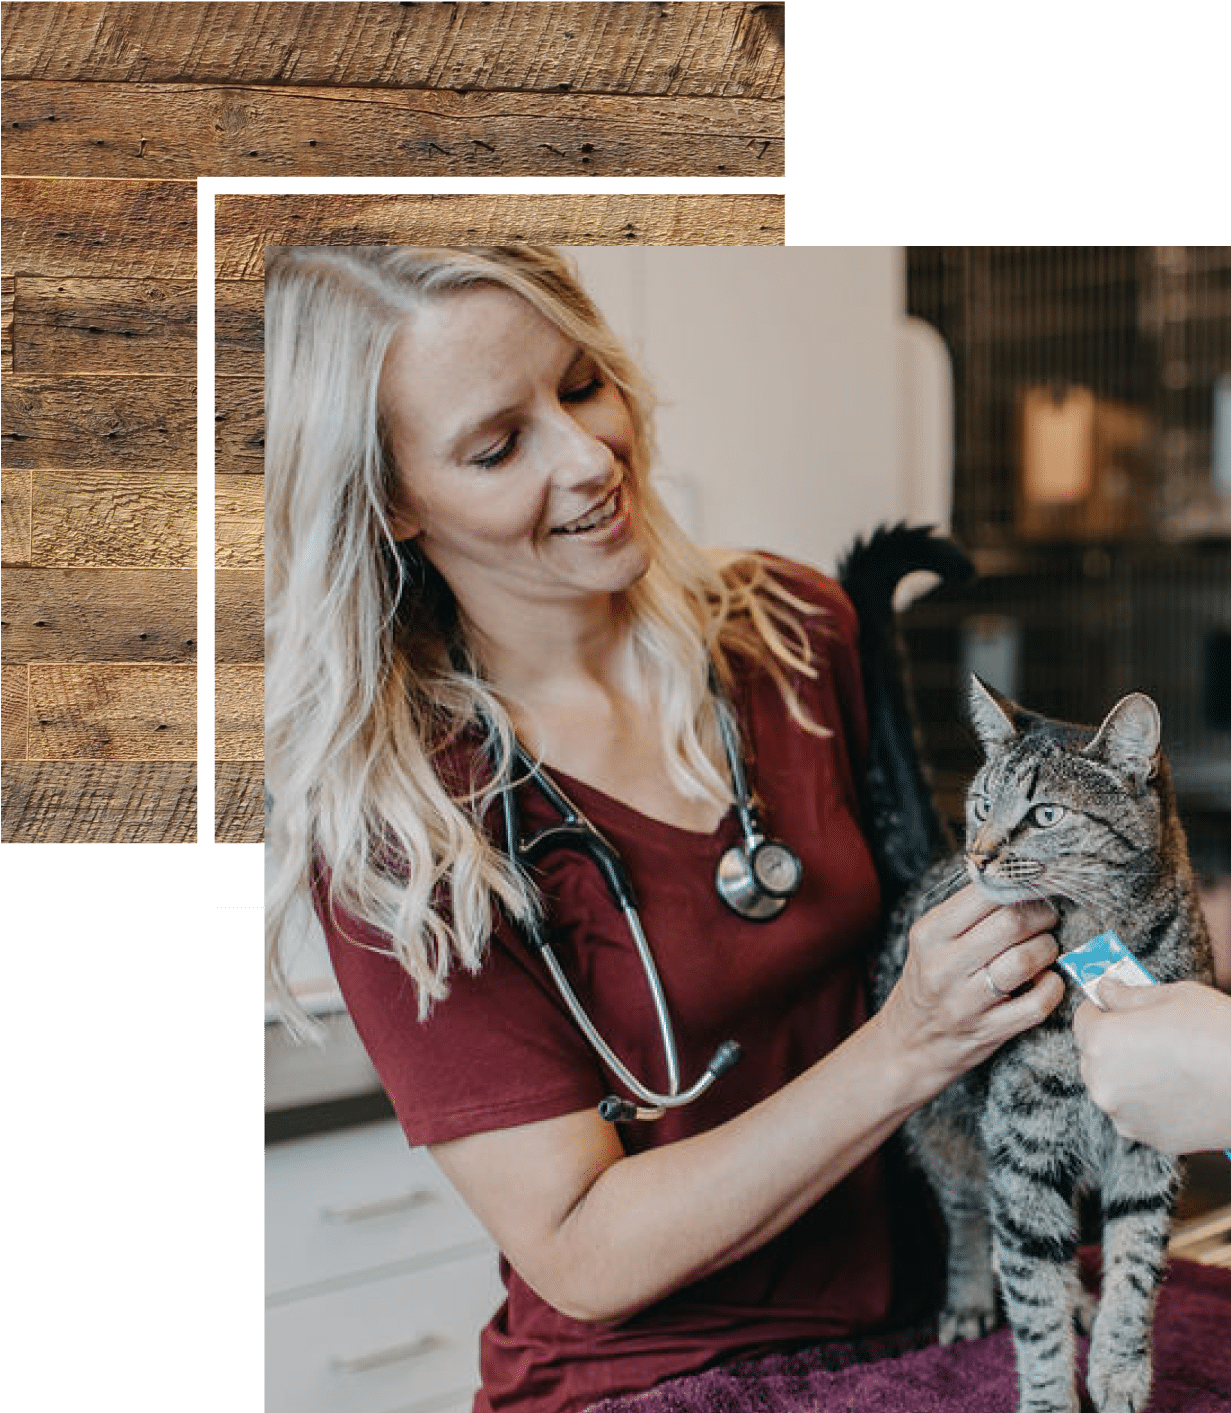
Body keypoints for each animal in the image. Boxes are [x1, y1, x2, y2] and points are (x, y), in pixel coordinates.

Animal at [842, 528, 1215, 1413]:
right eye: (982, 802)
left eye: (1043, 814)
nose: (978, 852)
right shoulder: (1023, 1151)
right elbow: (1033, 1300)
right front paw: (1050, 1393)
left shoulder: (1146, 1146)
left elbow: (1135, 1266)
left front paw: (1118, 1370)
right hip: (948, 1136)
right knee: (972, 1223)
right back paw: (971, 1298)